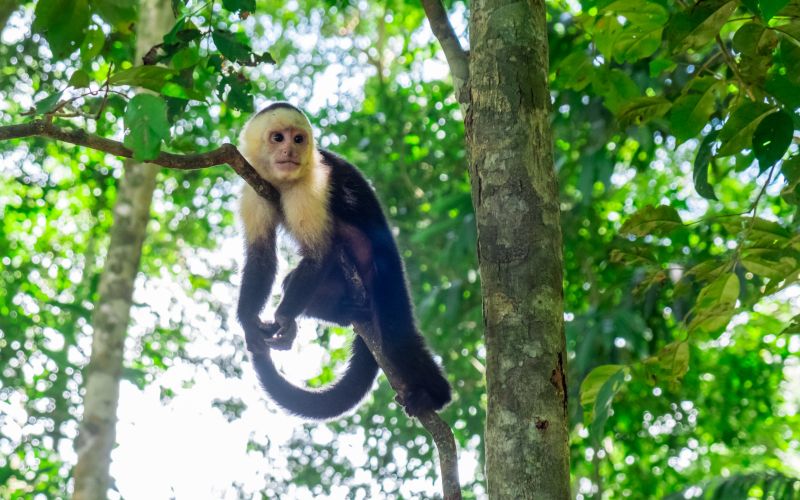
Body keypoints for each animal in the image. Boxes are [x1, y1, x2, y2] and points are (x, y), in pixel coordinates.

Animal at [236, 101, 450, 418]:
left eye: (298, 139)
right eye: (278, 138)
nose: (290, 151)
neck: (282, 182)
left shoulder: (312, 186)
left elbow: (319, 253)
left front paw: (284, 319)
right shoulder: (252, 188)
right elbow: (261, 256)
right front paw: (249, 323)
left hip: (387, 274)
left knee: (396, 340)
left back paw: (435, 396)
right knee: (293, 284)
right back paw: (345, 312)